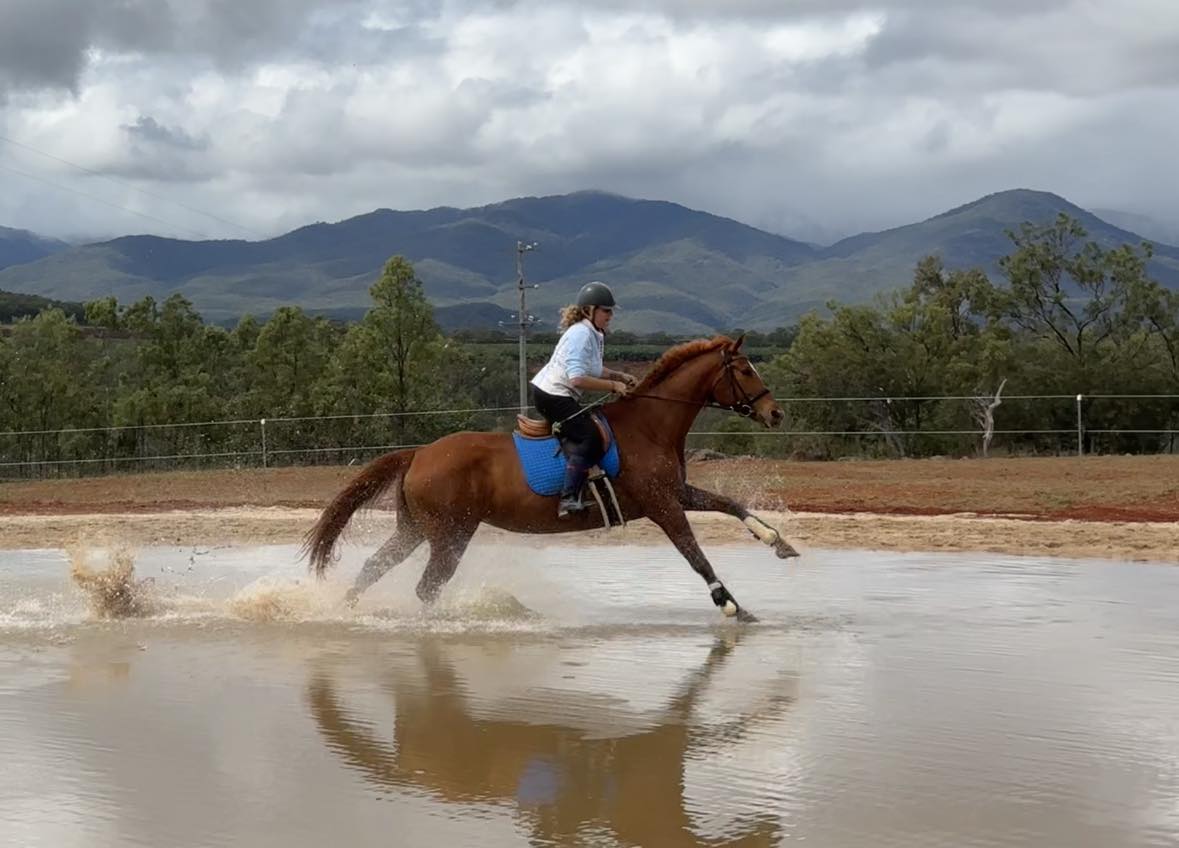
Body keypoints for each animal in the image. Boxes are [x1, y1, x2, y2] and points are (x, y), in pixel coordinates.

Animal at [303, 334, 798, 622]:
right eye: (744, 370)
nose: (776, 413)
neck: (651, 425)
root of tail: (420, 453)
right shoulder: (662, 505)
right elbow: (695, 555)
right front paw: (730, 604)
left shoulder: (676, 493)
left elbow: (730, 505)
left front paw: (779, 543)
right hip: (450, 532)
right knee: (428, 586)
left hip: (417, 529)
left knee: (375, 566)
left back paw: (343, 611)